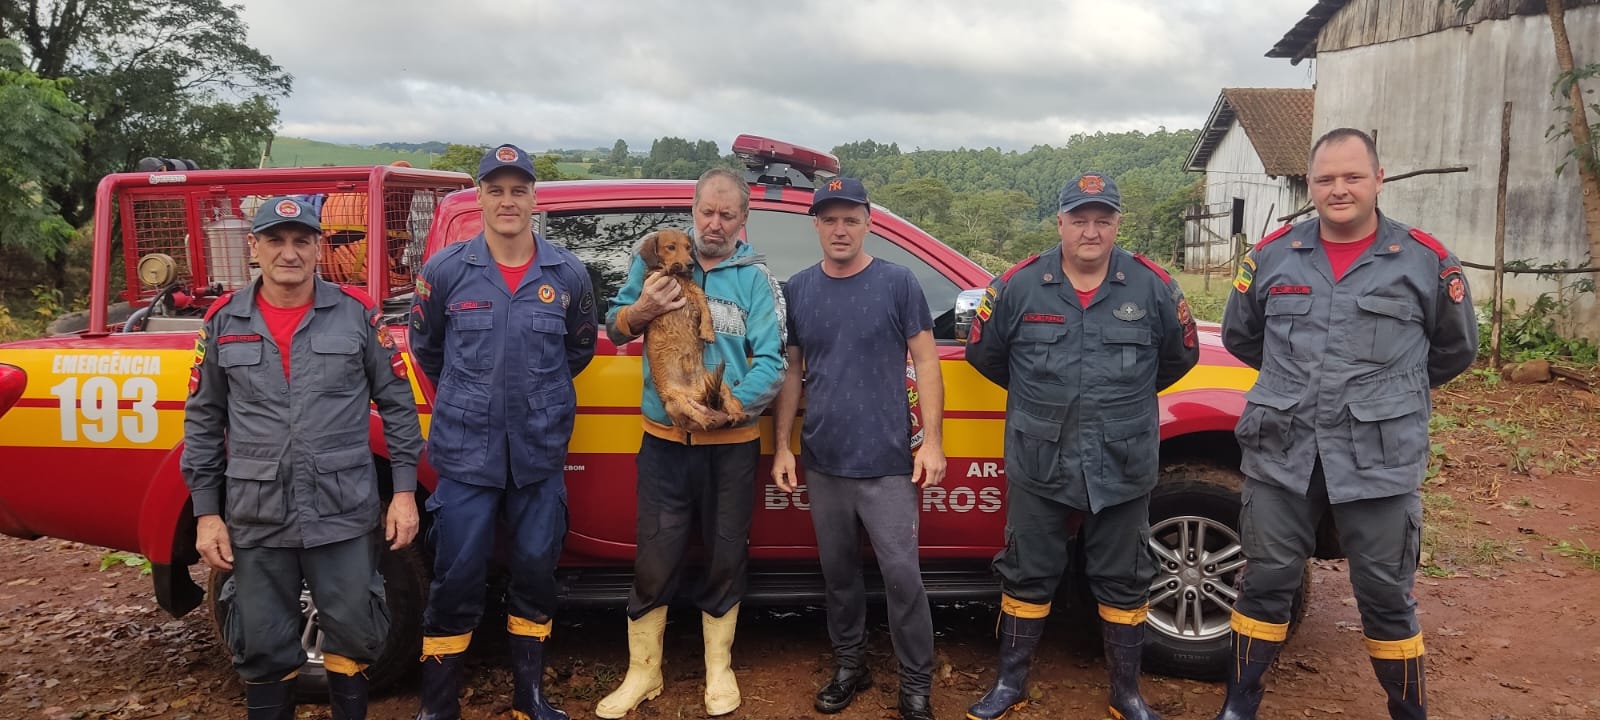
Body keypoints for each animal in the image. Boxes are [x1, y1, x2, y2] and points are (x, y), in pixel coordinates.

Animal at [636, 232, 742, 432]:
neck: (681, 280)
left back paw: (737, 414)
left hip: (719, 383)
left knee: (727, 399)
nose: (690, 264)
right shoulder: (658, 280)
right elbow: (663, 271)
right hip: (673, 401)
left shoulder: (697, 294)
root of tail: (698, 394)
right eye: (671, 247)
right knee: (691, 412)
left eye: (688, 247)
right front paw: (670, 267)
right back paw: (706, 419)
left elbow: (707, 313)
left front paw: (708, 332)